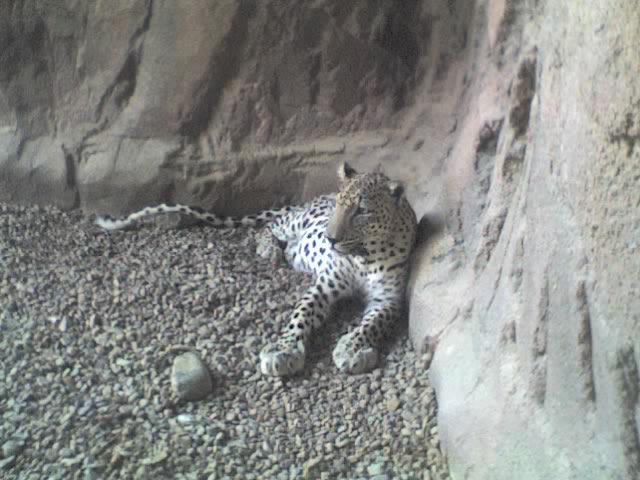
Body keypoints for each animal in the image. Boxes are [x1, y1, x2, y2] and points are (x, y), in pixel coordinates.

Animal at [94, 163, 416, 376]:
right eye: (340, 205)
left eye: (362, 211)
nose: (330, 238)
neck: (365, 256)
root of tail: (308, 200)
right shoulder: (325, 285)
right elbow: (301, 314)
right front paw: (283, 350)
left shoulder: (387, 300)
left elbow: (372, 324)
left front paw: (351, 348)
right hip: (296, 221)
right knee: (271, 225)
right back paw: (268, 249)